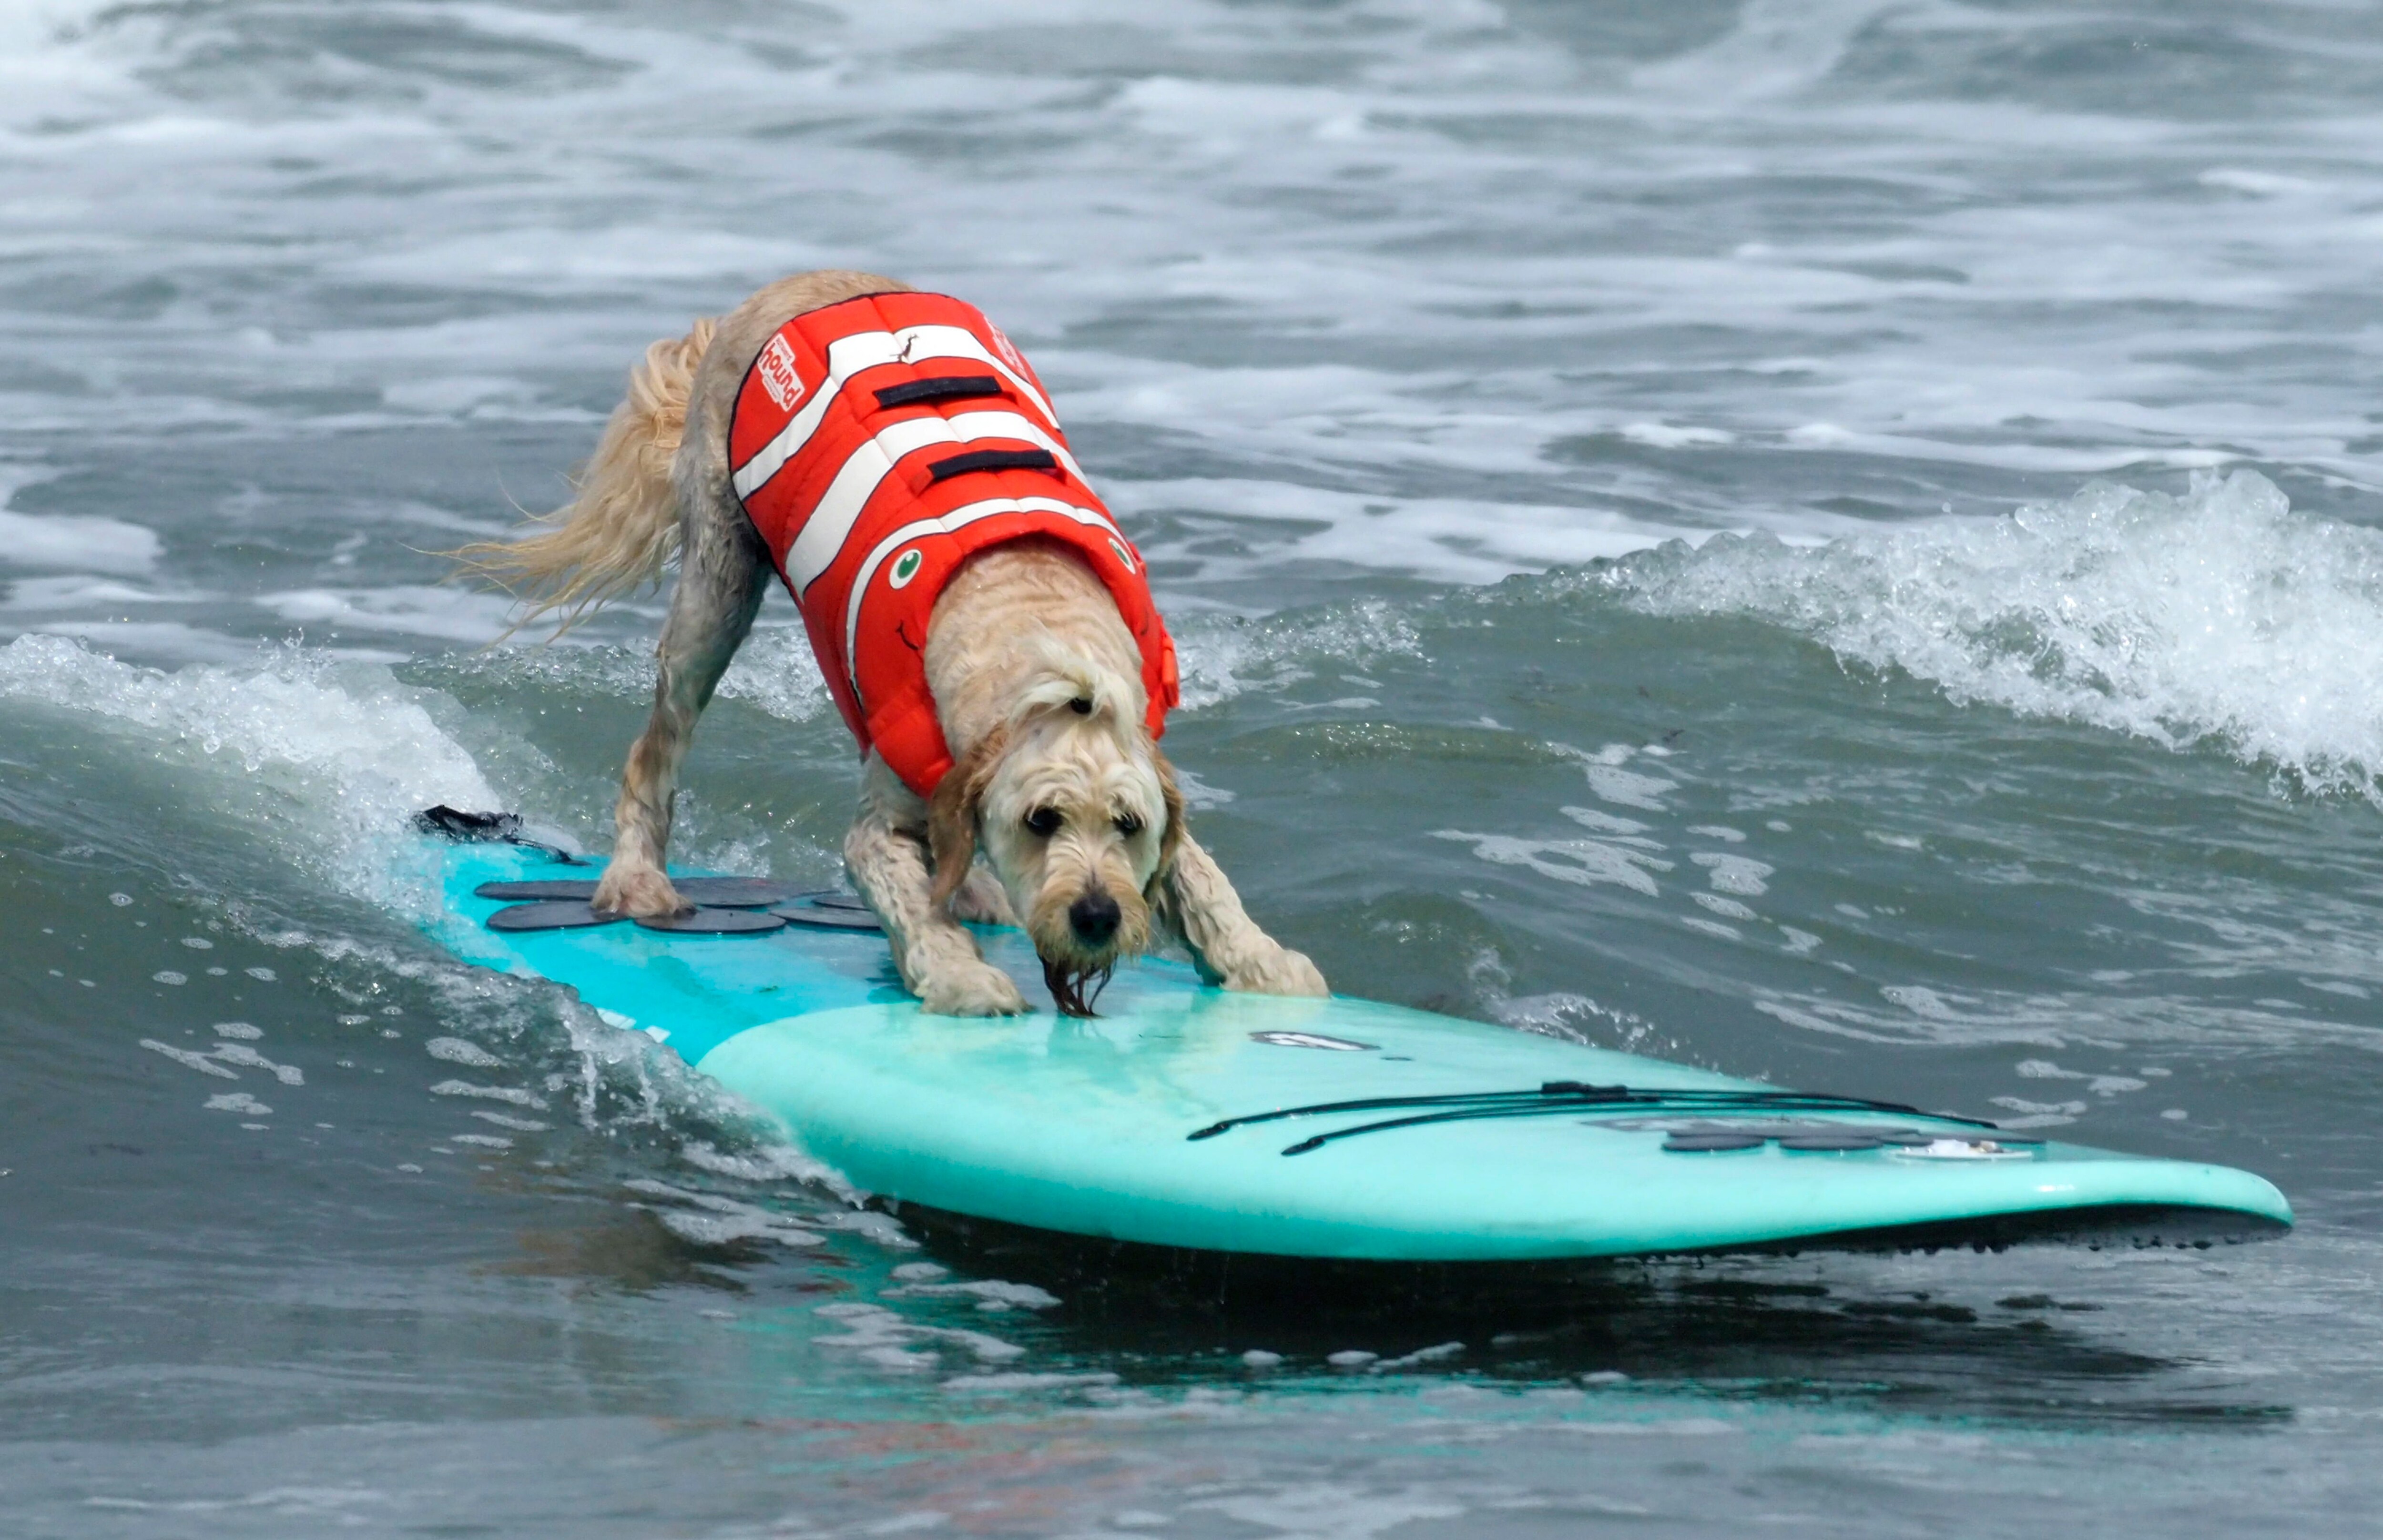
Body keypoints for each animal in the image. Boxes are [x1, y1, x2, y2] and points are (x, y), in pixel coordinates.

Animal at [455, 272, 1334, 1020]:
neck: (1033, 624)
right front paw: (961, 976)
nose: (1096, 916)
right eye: (1040, 820)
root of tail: (785, 285)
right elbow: (903, 890)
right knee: (657, 745)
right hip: (718, 584)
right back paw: (638, 879)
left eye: (1127, 824)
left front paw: (1265, 962)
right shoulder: (878, 825)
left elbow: (1204, 878)